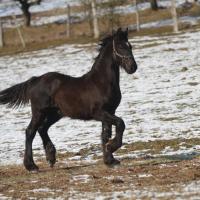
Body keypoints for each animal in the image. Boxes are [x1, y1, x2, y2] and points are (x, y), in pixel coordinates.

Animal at [0, 28, 137, 171]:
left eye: (130, 46)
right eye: (120, 46)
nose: (133, 67)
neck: (101, 83)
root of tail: (36, 80)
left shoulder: (110, 112)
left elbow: (105, 135)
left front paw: (110, 160)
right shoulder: (99, 113)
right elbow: (120, 124)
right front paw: (111, 147)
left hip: (55, 113)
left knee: (42, 129)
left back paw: (51, 158)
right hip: (39, 112)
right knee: (30, 131)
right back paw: (31, 166)